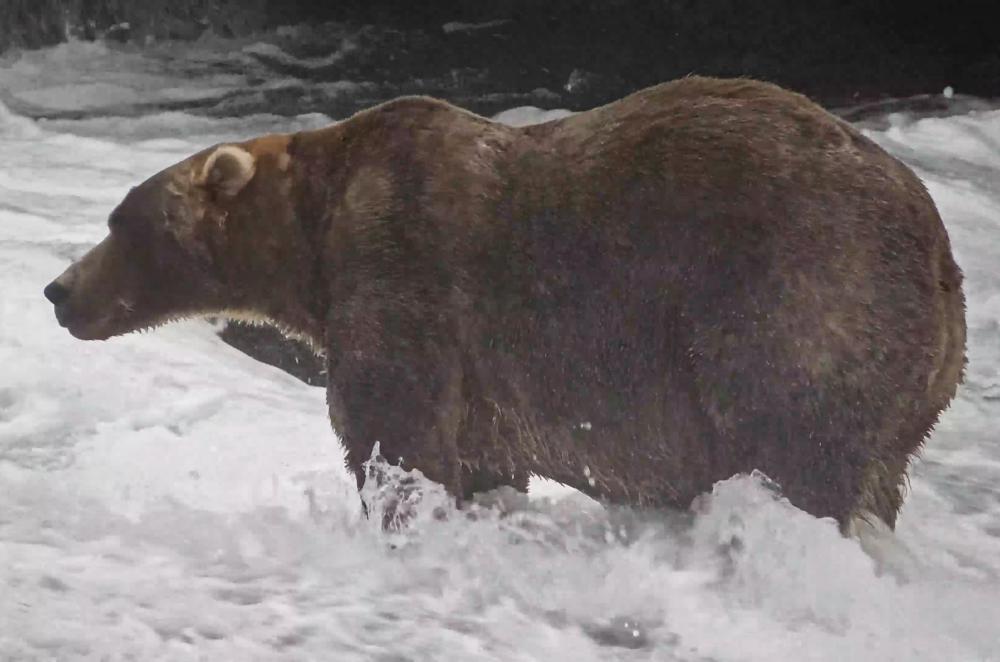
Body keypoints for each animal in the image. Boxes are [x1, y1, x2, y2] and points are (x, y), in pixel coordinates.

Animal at [44, 76, 966, 531]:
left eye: (121, 221)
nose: (58, 291)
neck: (313, 237)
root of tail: (941, 253)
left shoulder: (404, 269)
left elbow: (393, 429)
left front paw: (398, 512)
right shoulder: (483, 377)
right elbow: (481, 455)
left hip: (796, 296)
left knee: (794, 440)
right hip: (913, 384)